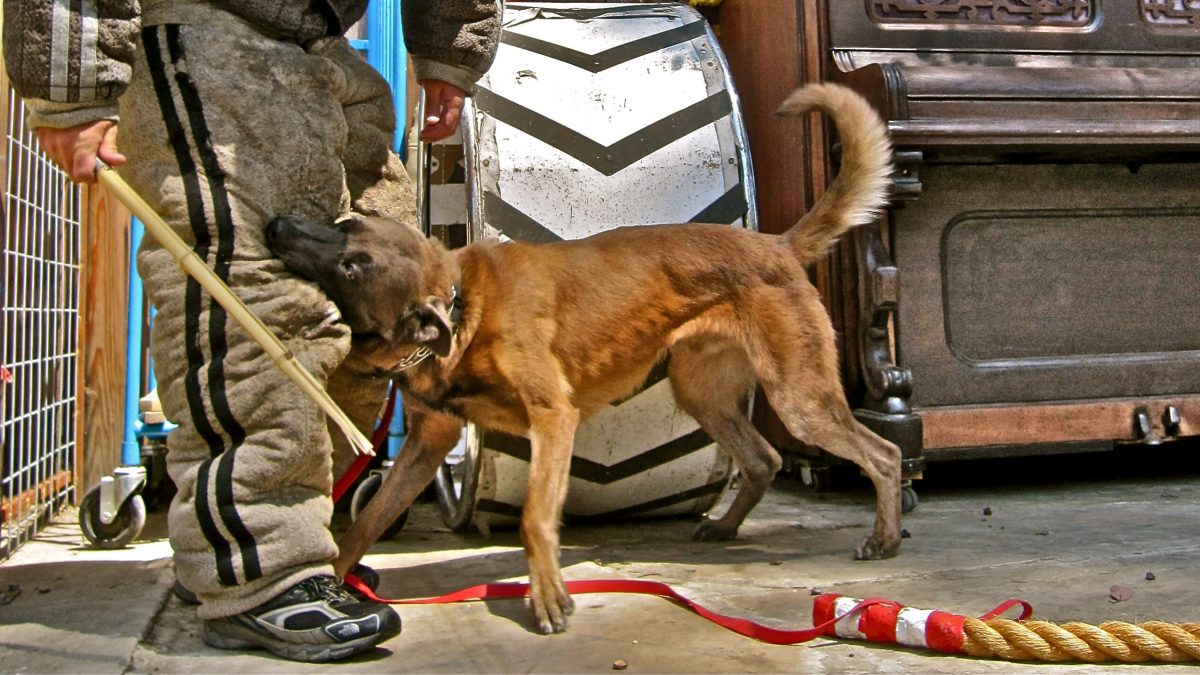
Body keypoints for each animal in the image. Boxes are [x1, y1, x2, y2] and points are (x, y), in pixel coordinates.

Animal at [262, 81, 902, 634]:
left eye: (353, 266)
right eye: (343, 224)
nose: (274, 223)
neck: (463, 306)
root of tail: (777, 245)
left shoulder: (552, 418)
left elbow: (532, 518)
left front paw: (547, 595)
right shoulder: (428, 442)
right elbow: (365, 523)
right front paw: (331, 580)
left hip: (800, 399)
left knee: (885, 453)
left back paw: (885, 538)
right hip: (702, 393)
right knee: (765, 458)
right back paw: (724, 526)